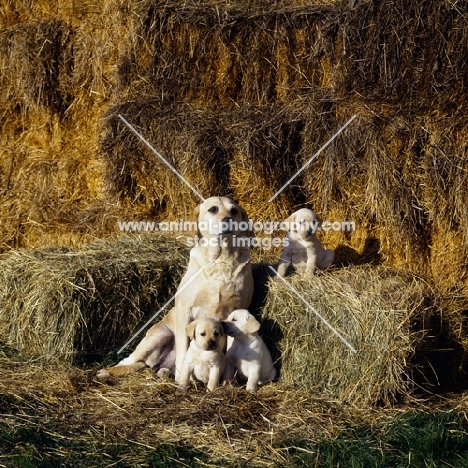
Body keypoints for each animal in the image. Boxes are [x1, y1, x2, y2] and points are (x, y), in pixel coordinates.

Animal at [96, 196, 254, 382]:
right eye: (213, 209)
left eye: (234, 211)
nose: (228, 220)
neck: (220, 260)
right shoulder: (186, 311)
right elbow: (184, 352)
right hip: (158, 336)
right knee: (127, 360)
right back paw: (106, 371)